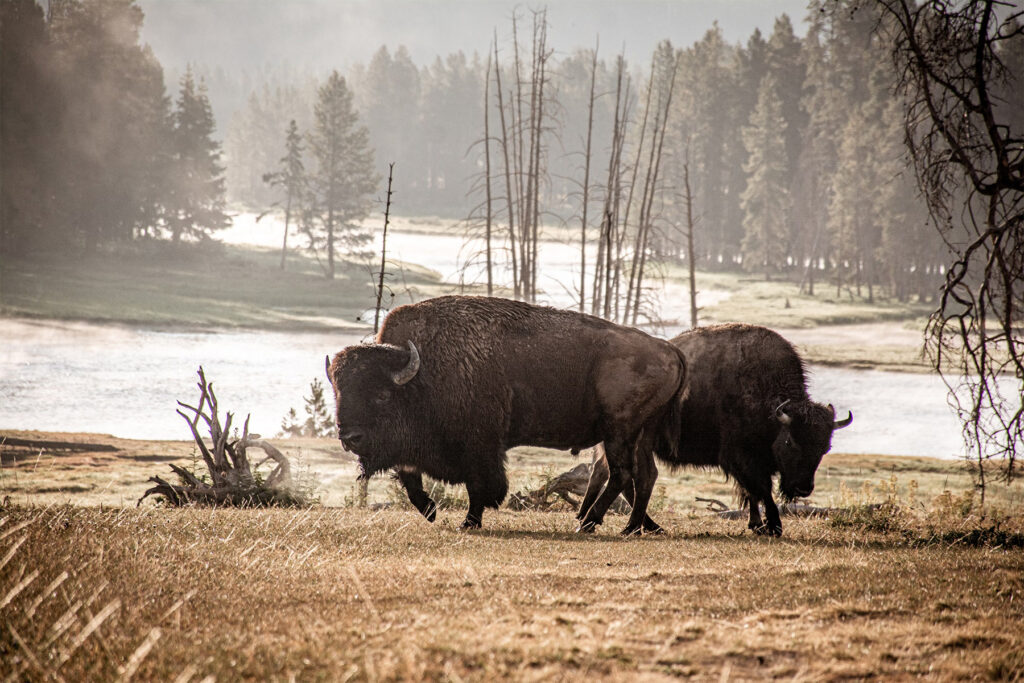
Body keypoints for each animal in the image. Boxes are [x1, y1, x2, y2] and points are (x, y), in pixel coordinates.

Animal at [323, 294, 684, 532]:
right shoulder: (416, 450)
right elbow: (410, 478)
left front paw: (469, 522)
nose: (350, 437)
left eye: (382, 396)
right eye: (338, 393)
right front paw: (431, 512)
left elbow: (479, 485)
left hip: (619, 430)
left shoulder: (480, 446)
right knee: (642, 475)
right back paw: (635, 526)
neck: (421, 373)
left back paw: (591, 523)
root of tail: (668, 348)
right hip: (638, 433)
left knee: (622, 473)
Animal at [581, 323, 851, 536]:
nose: (803, 488)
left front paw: (757, 525)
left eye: (825, 447)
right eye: (790, 442)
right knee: (624, 477)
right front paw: (773, 526)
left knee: (608, 473)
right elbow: (761, 490)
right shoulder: (741, 458)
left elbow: (752, 493)